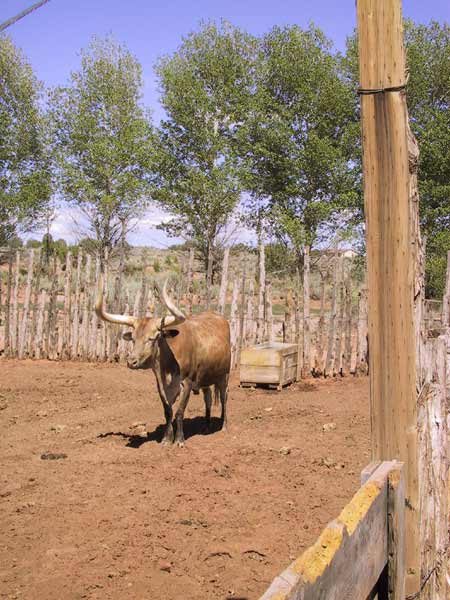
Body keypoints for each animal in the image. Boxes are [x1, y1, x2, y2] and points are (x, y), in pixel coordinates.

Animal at [93, 282, 230, 446]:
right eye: (133, 338)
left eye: (152, 338)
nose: (131, 361)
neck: (169, 362)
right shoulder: (161, 382)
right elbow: (168, 411)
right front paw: (166, 438)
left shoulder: (187, 381)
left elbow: (179, 411)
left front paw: (179, 440)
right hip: (205, 377)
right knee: (208, 397)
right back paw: (206, 426)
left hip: (224, 375)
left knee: (224, 397)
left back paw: (224, 426)